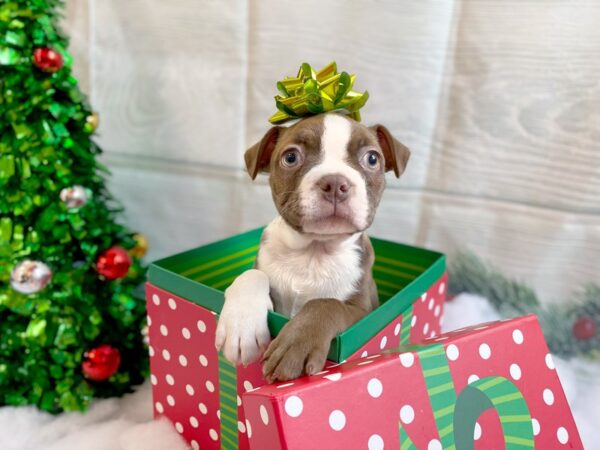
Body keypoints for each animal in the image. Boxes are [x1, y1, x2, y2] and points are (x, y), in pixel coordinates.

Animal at [214, 110, 408, 382]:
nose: (335, 183)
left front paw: (298, 343)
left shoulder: (363, 311)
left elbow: (327, 304)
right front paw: (241, 325)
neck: (314, 251)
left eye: (372, 159)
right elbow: (251, 274)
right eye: (291, 157)